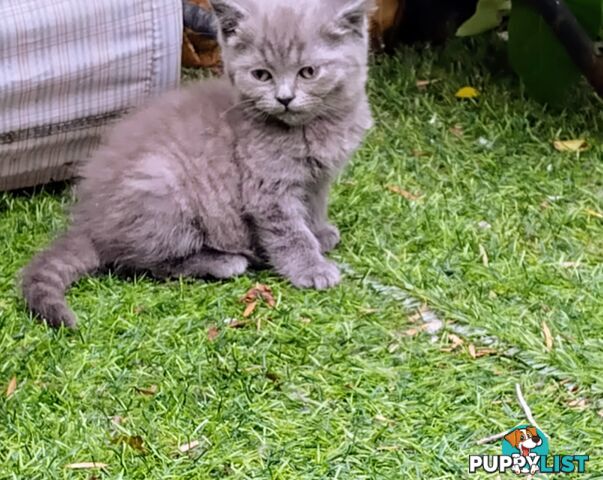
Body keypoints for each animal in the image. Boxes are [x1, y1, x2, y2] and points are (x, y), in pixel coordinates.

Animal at [22, 0, 372, 328]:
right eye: (261, 75)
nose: (284, 98)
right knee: (138, 262)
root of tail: (88, 223)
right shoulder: (268, 190)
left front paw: (320, 232)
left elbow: (314, 206)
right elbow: (288, 231)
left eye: (308, 72)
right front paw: (310, 267)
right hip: (162, 185)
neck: (310, 128)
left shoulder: (318, 178)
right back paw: (224, 262)